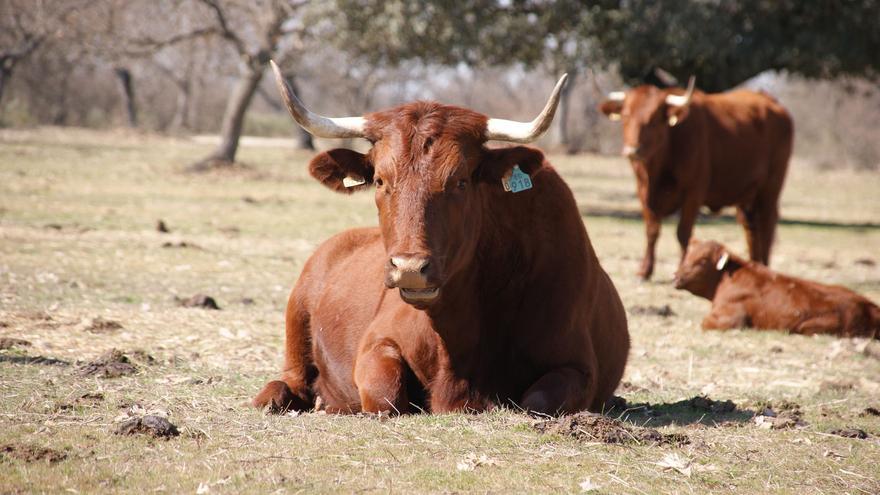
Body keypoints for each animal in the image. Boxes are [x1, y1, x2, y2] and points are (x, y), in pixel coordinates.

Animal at [254, 63, 632, 418]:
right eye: (379, 180)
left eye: (461, 181)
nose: (409, 268)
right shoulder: (377, 342)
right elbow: (385, 396)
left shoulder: (577, 367)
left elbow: (537, 401)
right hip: (296, 316)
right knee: (291, 378)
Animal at [600, 77, 796, 280]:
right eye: (625, 115)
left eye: (654, 120)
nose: (632, 150)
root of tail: (771, 102)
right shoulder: (643, 190)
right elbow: (652, 230)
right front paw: (644, 270)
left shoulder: (693, 192)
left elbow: (683, 233)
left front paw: (681, 268)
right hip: (747, 194)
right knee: (751, 228)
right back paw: (755, 266)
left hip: (770, 188)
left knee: (767, 224)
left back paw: (766, 268)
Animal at [672, 239, 880, 340]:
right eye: (687, 255)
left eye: (702, 260)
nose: (676, 276)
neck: (727, 278)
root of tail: (869, 306)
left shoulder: (730, 318)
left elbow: (704, 323)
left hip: (810, 326)